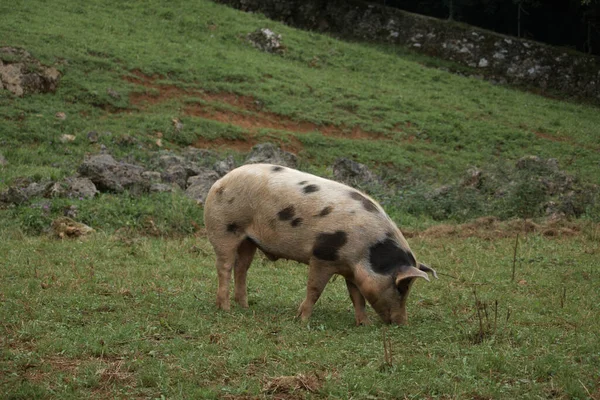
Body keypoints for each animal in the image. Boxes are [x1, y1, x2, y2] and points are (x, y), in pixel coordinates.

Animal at [202, 163, 436, 324]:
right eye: (402, 288)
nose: (402, 323)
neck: (366, 252)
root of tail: (220, 181)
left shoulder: (351, 270)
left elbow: (357, 297)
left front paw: (364, 324)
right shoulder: (322, 256)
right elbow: (315, 289)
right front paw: (302, 320)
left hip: (249, 240)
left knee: (242, 268)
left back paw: (245, 307)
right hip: (224, 228)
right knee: (224, 267)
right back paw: (225, 309)